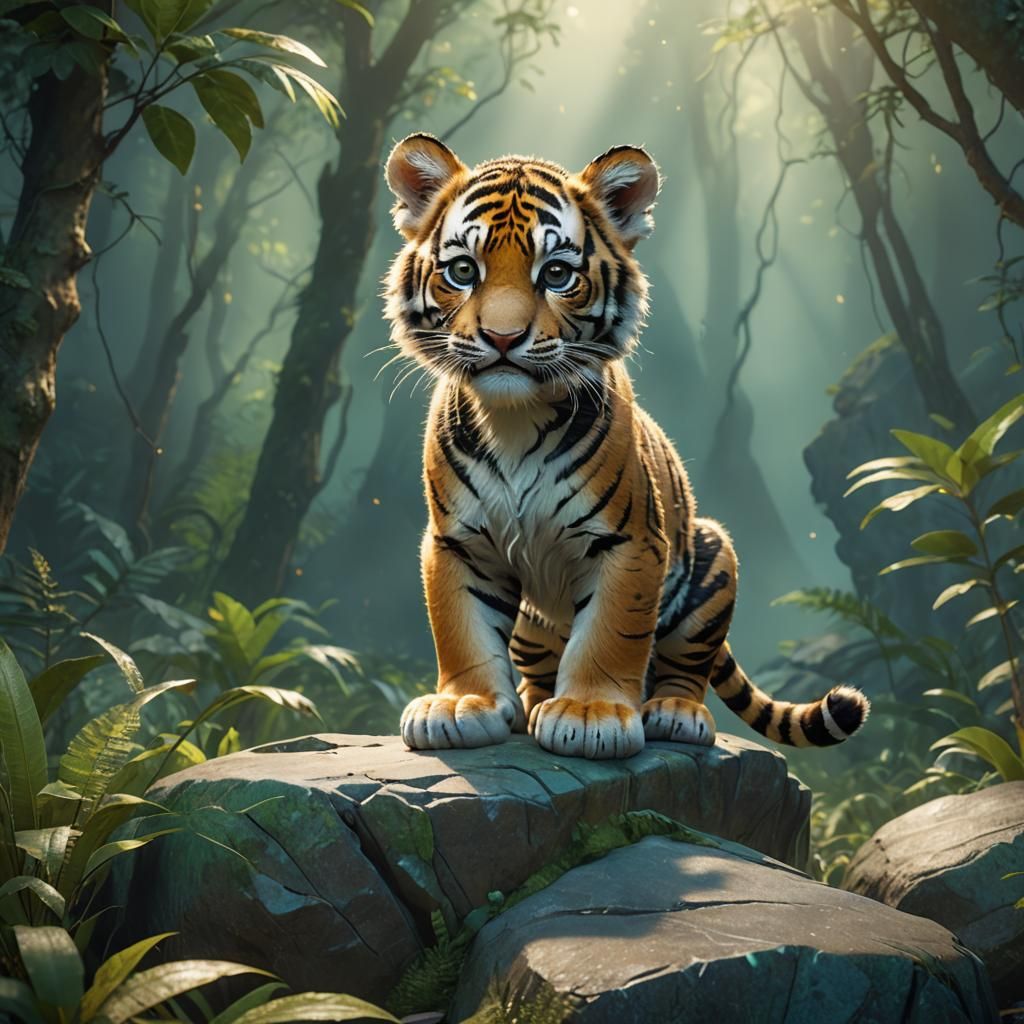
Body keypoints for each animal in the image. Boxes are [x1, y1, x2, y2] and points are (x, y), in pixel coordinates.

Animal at [382, 132, 869, 760]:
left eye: (556, 274)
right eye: (464, 270)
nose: (502, 338)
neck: (514, 418)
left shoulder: (629, 542)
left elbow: (610, 633)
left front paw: (591, 714)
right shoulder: (457, 541)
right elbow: (460, 626)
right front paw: (463, 704)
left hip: (712, 558)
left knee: (685, 667)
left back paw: (673, 714)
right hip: (532, 624)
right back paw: (532, 704)